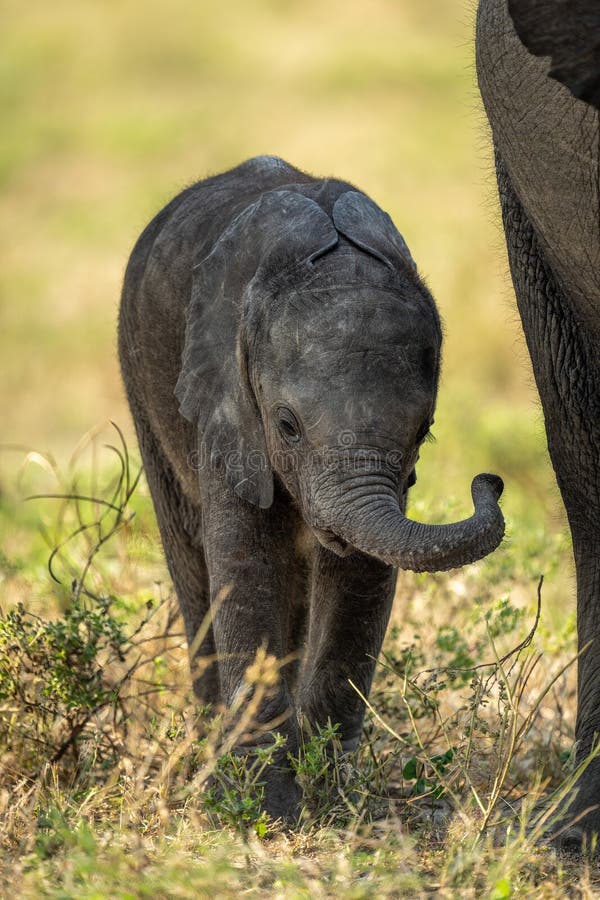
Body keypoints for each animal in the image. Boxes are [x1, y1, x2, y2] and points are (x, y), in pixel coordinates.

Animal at [118, 155, 505, 822]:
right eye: (287, 426)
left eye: (424, 431)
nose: (491, 480)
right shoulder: (228, 406)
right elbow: (245, 570)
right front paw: (266, 814)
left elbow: (361, 581)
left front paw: (328, 803)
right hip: (143, 383)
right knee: (190, 559)